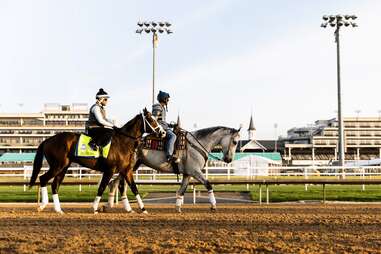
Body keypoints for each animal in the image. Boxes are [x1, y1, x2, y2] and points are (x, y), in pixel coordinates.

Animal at [27, 108, 162, 213]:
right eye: (151, 119)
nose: (163, 132)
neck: (123, 142)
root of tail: (47, 140)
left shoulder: (126, 170)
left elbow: (134, 188)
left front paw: (143, 209)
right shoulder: (109, 170)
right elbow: (101, 187)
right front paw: (94, 208)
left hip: (64, 167)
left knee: (54, 185)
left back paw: (58, 209)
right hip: (58, 166)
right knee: (43, 178)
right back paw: (43, 206)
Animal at [105, 126, 239, 212]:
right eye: (235, 142)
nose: (228, 159)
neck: (197, 145)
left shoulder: (187, 174)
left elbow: (181, 190)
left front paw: (178, 208)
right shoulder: (195, 172)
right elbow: (208, 184)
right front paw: (213, 206)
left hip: (131, 167)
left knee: (116, 183)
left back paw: (111, 205)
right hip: (129, 167)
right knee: (119, 184)